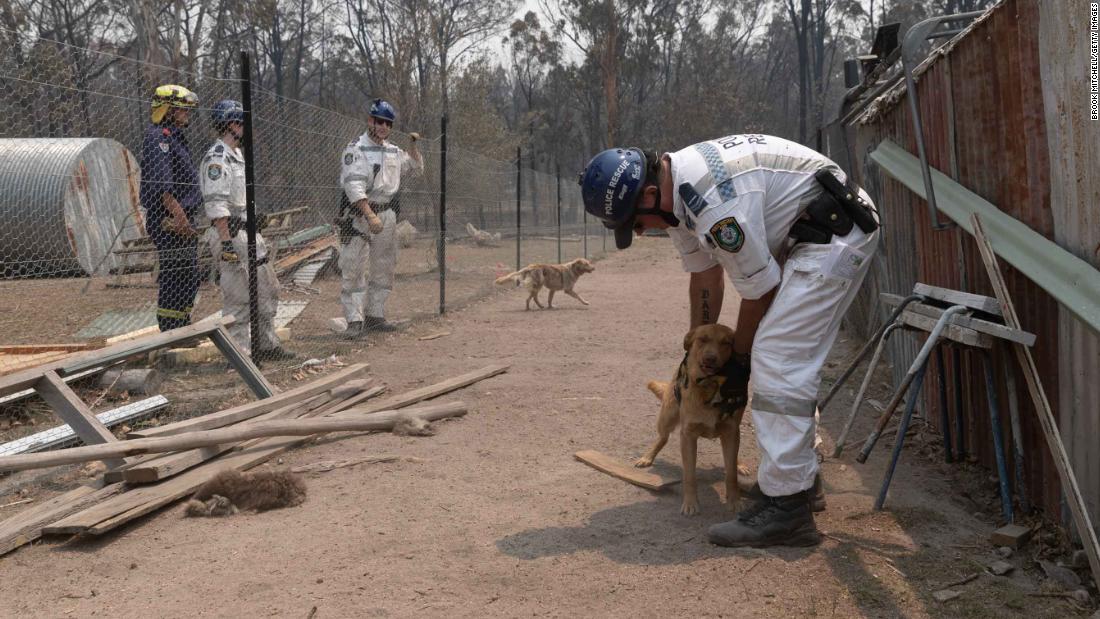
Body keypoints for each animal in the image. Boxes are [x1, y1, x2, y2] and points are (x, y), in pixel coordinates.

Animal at [638, 325, 748, 518]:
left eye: (726, 343)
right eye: (702, 339)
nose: (710, 358)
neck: (710, 388)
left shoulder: (731, 431)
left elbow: (731, 473)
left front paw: (734, 500)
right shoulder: (688, 436)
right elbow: (689, 475)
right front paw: (690, 503)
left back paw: (739, 463)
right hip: (667, 416)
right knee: (663, 437)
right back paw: (648, 456)